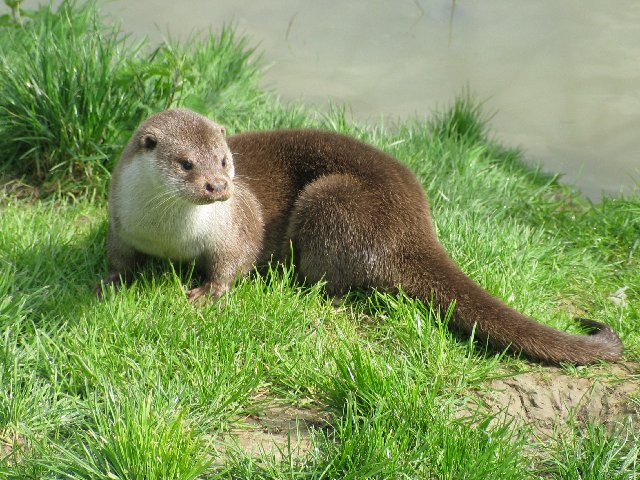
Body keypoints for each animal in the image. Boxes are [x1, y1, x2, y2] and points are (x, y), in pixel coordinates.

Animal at [97, 109, 624, 364]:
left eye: (225, 161)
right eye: (187, 163)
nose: (218, 187)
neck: (170, 236)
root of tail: (415, 223)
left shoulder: (238, 224)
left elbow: (234, 261)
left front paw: (208, 292)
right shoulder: (121, 220)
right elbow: (118, 257)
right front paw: (109, 282)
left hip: (331, 203)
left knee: (333, 280)